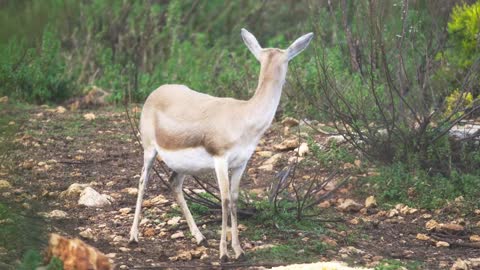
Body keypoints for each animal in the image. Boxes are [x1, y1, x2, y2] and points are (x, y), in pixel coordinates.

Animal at [129, 28, 314, 260]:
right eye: (287, 59)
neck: (244, 116)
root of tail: (156, 92)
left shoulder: (241, 164)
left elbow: (234, 201)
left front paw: (239, 250)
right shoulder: (220, 160)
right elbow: (224, 201)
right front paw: (224, 253)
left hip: (182, 166)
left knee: (174, 184)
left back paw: (200, 237)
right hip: (149, 151)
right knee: (142, 183)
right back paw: (133, 237)